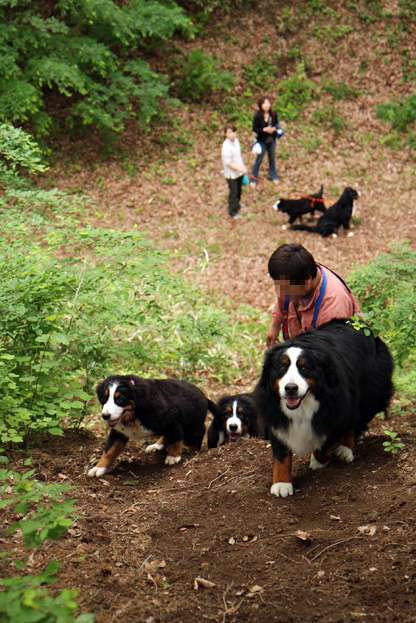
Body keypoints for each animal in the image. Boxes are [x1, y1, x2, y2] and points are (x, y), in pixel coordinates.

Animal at [87, 376, 218, 478]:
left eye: (120, 399)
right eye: (104, 399)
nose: (105, 416)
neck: (135, 412)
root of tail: (205, 397)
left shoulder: (172, 420)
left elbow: (175, 440)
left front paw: (173, 457)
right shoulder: (119, 432)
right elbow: (109, 451)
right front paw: (99, 467)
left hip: (192, 425)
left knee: (197, 434)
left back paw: (193, 451)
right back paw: (157, 445)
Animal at [255, 320, 394, 500]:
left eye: (304, 368)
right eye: (282, 367)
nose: (291, 388)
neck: (303, 407)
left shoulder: (335, 410)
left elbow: (325, 445)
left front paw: (317, 463)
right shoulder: (275, 414)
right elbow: (281, 455)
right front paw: (281, 484)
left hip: (367, 393)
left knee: (355, 420)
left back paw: (345, 450)